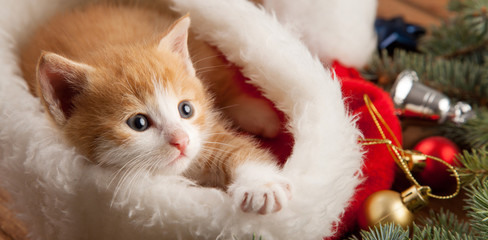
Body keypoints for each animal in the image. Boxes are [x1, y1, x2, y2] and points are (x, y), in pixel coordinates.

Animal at [20, 4, 290, 214]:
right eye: (138, 123)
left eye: (186, 109)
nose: (181, 141)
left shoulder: (204, 135)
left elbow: (235, 147)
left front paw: (261, 186)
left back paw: (260, 114)